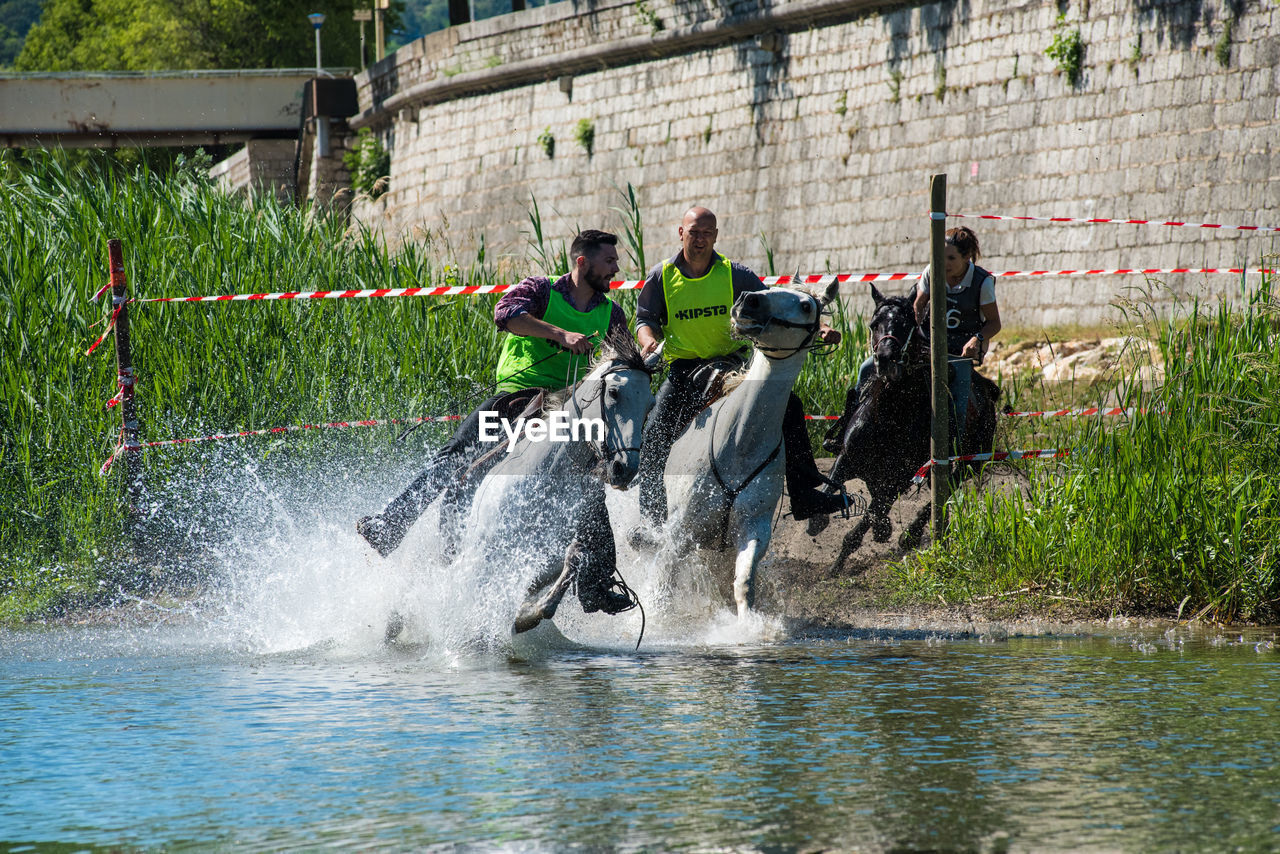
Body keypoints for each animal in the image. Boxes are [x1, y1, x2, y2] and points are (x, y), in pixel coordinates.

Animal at [460, 338, 655, 635]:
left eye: (650, 404)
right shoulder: (484, 557)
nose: (626, 468)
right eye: (613, 392)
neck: (547, 482)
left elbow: (569, 567)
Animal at [808, 286, 998, 573]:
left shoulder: (899, 476)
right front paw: (819, 522)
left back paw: (909, 535)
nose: (886, 359)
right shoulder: (848, 457)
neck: (891, 415)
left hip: (970, 463)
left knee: (944, 490)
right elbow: (836, 484)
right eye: (874, 324)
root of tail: (987, 389)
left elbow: (870, 516)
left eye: (906, 324)